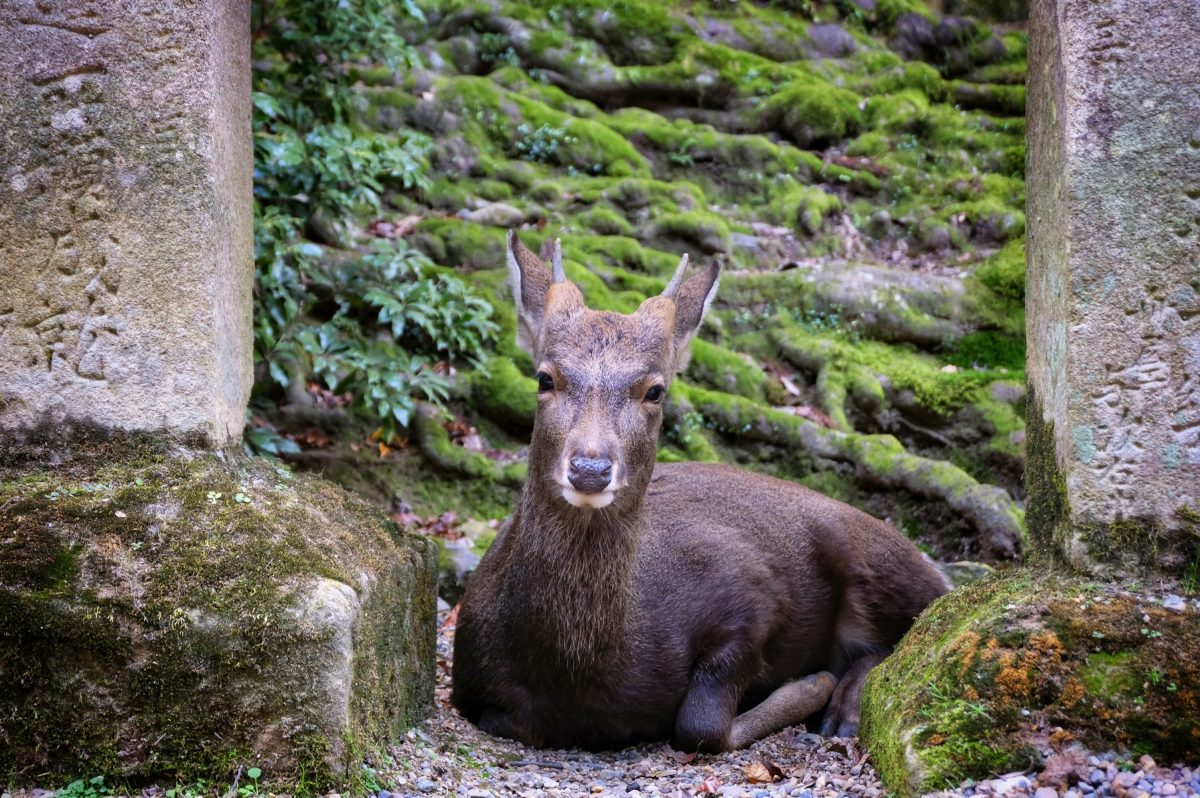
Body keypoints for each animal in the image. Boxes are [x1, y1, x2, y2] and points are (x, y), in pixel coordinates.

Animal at [451, 231, 945, 753]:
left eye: (655, 390)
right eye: (545, 377)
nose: (590, 469)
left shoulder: (754, 593)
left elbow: (699, 724)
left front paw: (812, 684)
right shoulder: (474, 691)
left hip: (872, 555)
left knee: (922, 615)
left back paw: (844, 709)